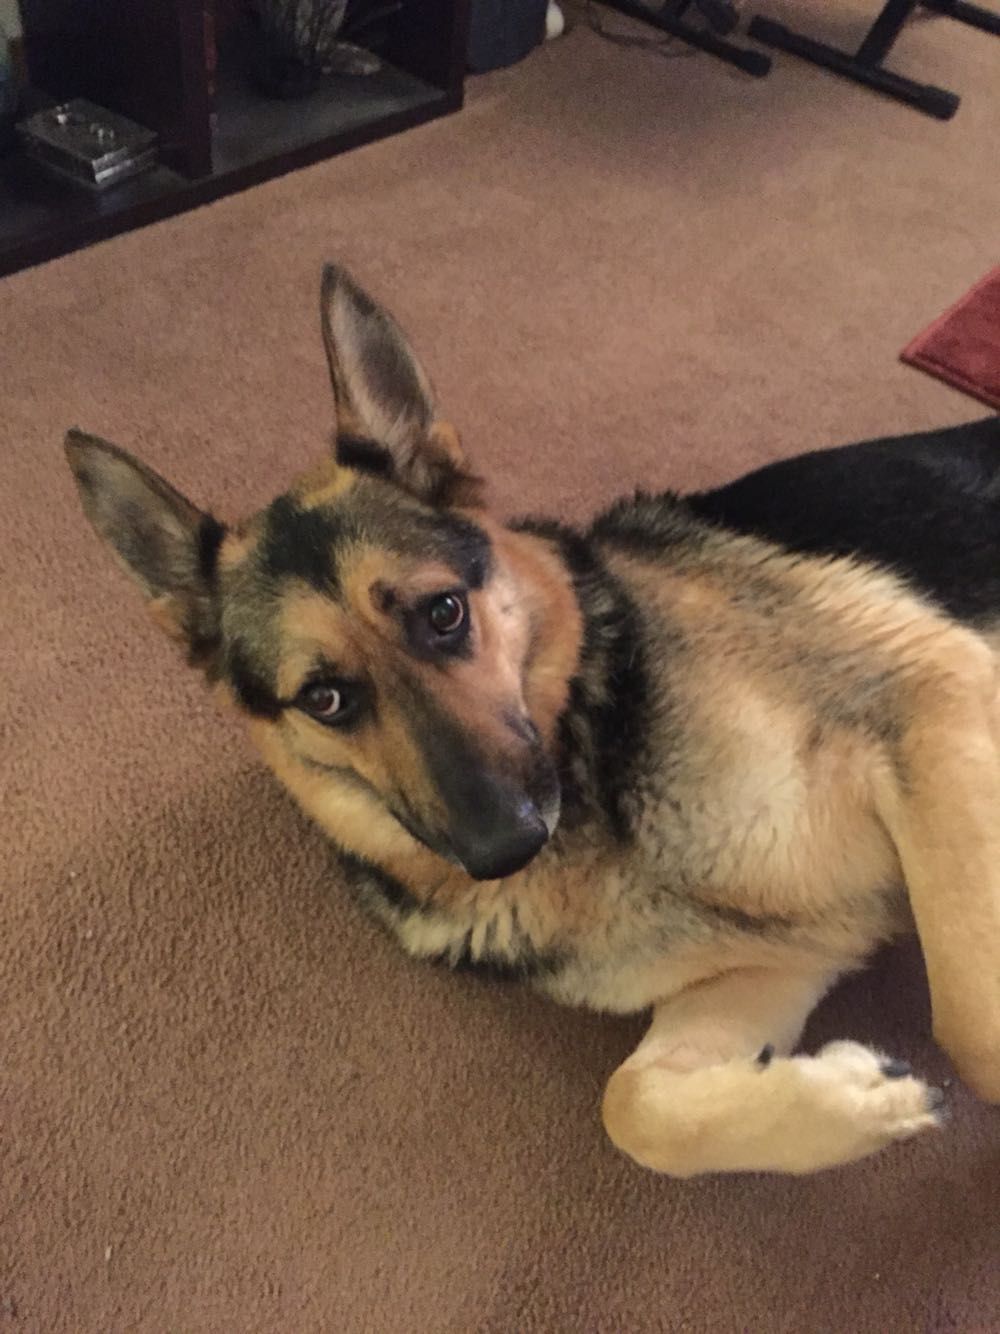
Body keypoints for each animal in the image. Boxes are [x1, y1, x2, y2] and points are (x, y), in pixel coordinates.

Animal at [66, 268, 1000, 1179]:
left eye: (444, 613)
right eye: (324, 698)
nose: (503, 846)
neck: (598, 774)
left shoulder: (931, 697)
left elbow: (972, 1027)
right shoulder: (776, 962)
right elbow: (636, 1108)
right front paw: (859, 1099)